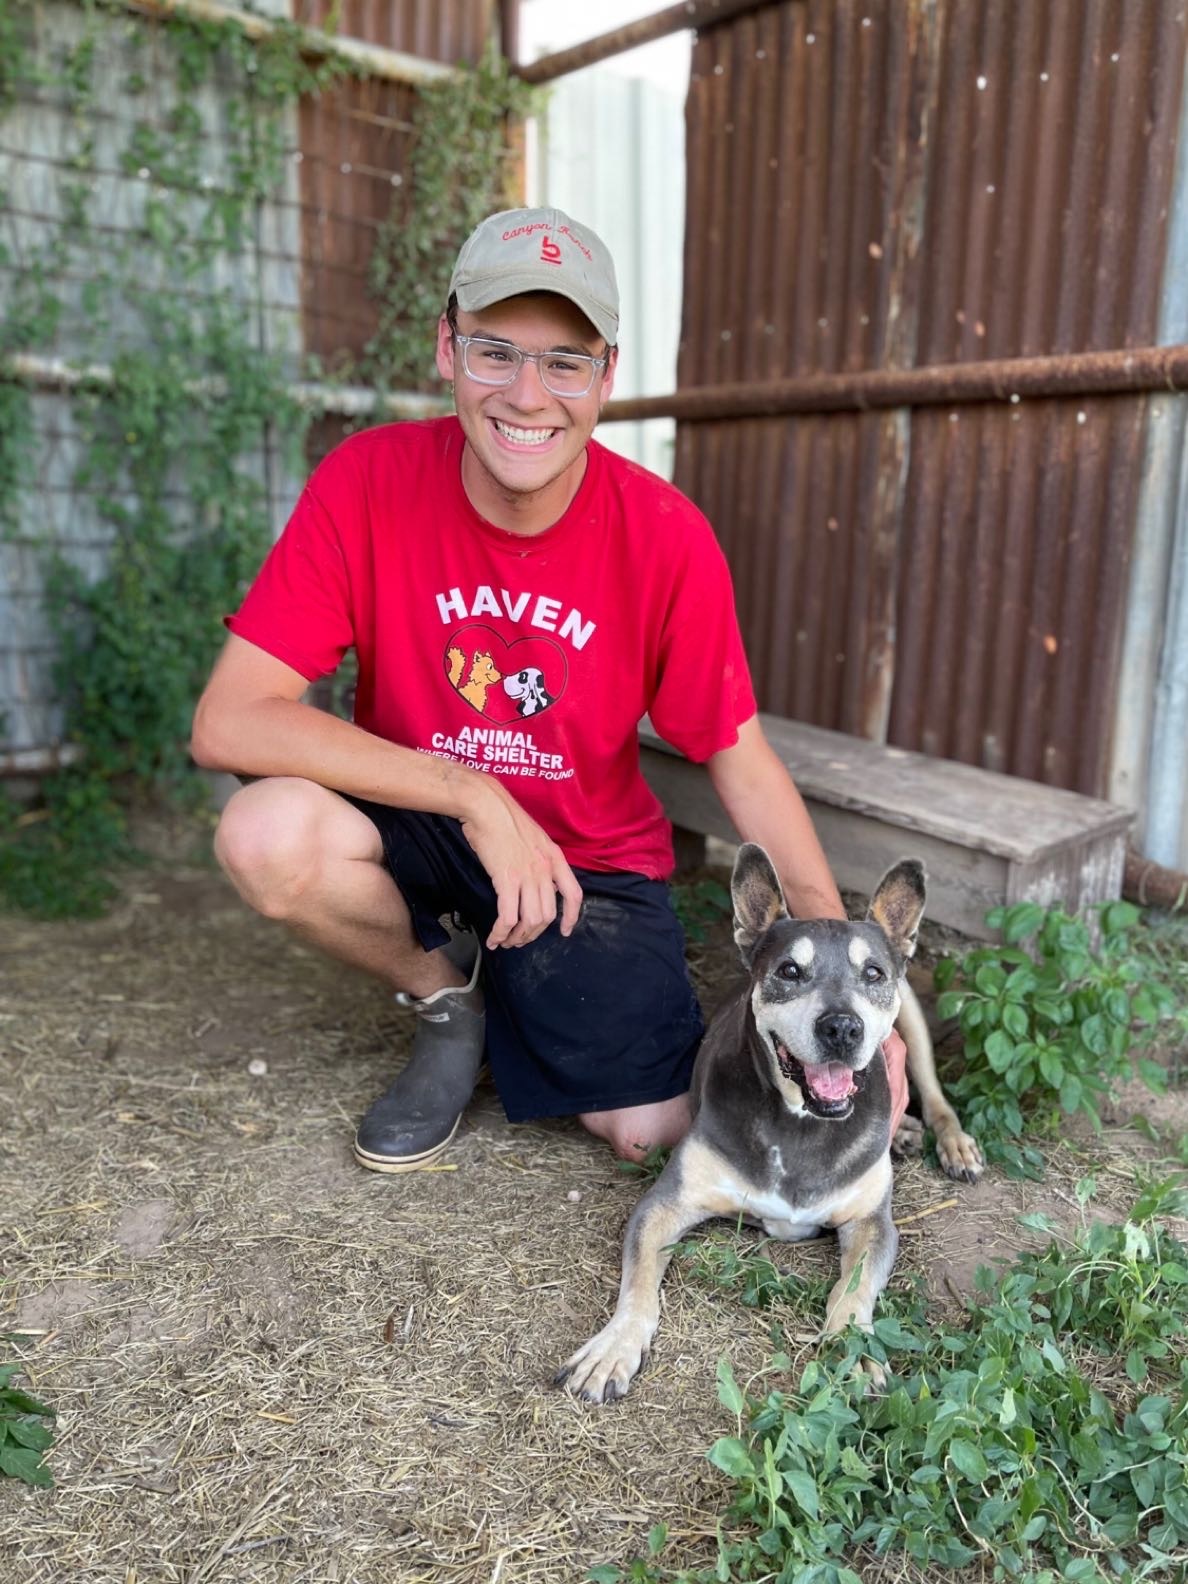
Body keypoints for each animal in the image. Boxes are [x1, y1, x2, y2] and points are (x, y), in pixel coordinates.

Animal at [557, 849, 988, 1406]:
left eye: (872, 973)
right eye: (789, 970)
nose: (842, 1028)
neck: (801, 1121)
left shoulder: (871, 1223)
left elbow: (853, 1291)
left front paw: (853, 1350)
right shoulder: (664, 1205)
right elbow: (638, 1286)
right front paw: (614, 1348)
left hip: (910, 1011)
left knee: (934, 1093)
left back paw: (950, 1143)